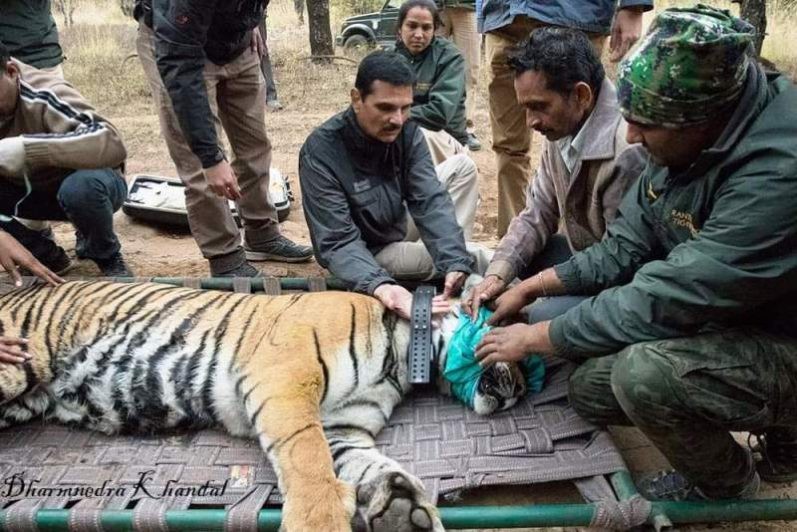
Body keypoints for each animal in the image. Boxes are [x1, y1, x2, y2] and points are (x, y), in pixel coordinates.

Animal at [0, 279, 526, 531]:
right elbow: (308, 461)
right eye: (503, 326)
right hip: (15, 368)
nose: (521, 389)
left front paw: (400, 505)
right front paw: (319, 525)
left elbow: (364, 465)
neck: (402, 359)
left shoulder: (343, 427)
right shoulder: (285, 378)